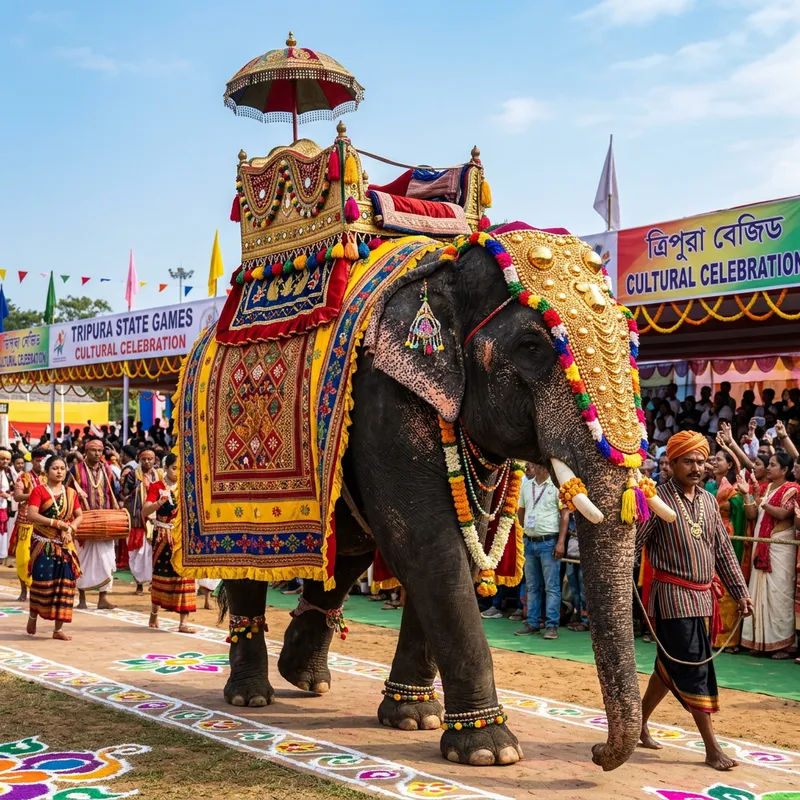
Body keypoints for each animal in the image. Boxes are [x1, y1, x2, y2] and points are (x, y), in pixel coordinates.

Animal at [212, 226, 673, 770]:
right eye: (532, 346)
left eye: (632, 344)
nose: (599, 752)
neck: (448, 266)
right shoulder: (385, 396)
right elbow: (428, 544)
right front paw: (491, 751)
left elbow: (464, 541)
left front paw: (415, 719)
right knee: (252, 560)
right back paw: (250, 696)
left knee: (345, 554)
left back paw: (306, 677)